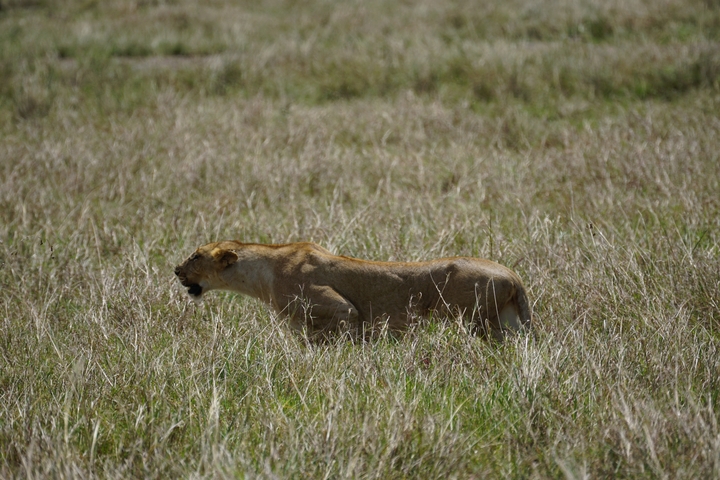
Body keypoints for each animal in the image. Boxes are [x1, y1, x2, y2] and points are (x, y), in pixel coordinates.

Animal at [174, 241, 532, 341]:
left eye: (195, 256)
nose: (176, 270)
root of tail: (514, 275)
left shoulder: (342, 310)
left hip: (475, 322)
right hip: (509, 322)